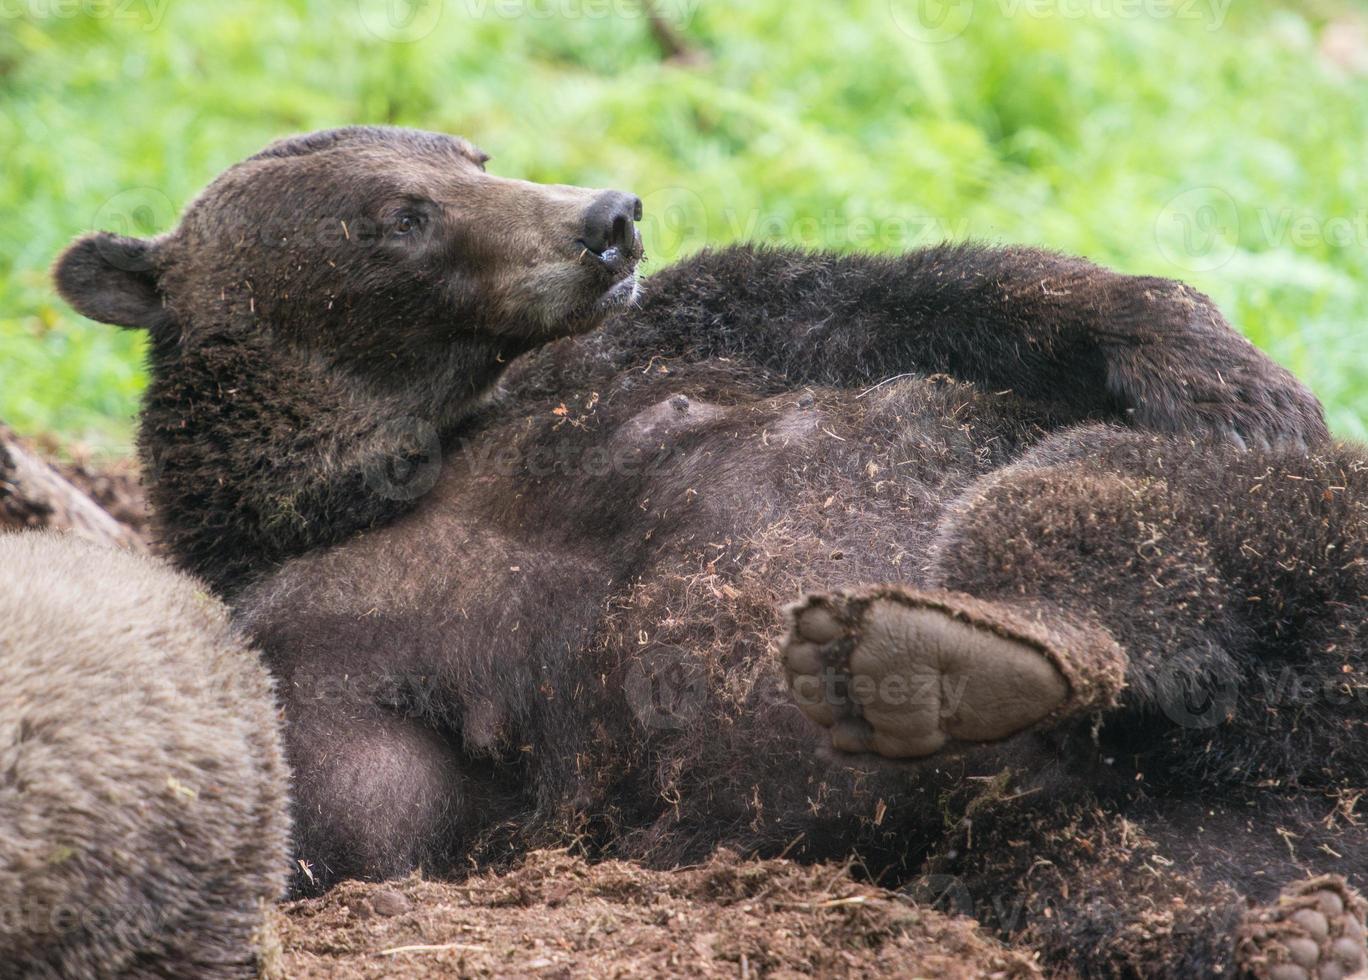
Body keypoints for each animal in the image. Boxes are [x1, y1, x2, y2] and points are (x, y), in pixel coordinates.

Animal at [53, 127, 1368, 974]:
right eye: (399, 213)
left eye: (467, 150)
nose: (607, 217)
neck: (390, 464)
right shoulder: (315, 665)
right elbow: (349, 823)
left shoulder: (670, 339)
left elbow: (920, 293)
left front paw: (1225, 370)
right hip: (1135, 826)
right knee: (1107, 874)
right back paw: (1294, 930)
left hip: (1294, 538)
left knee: (1104, 495)